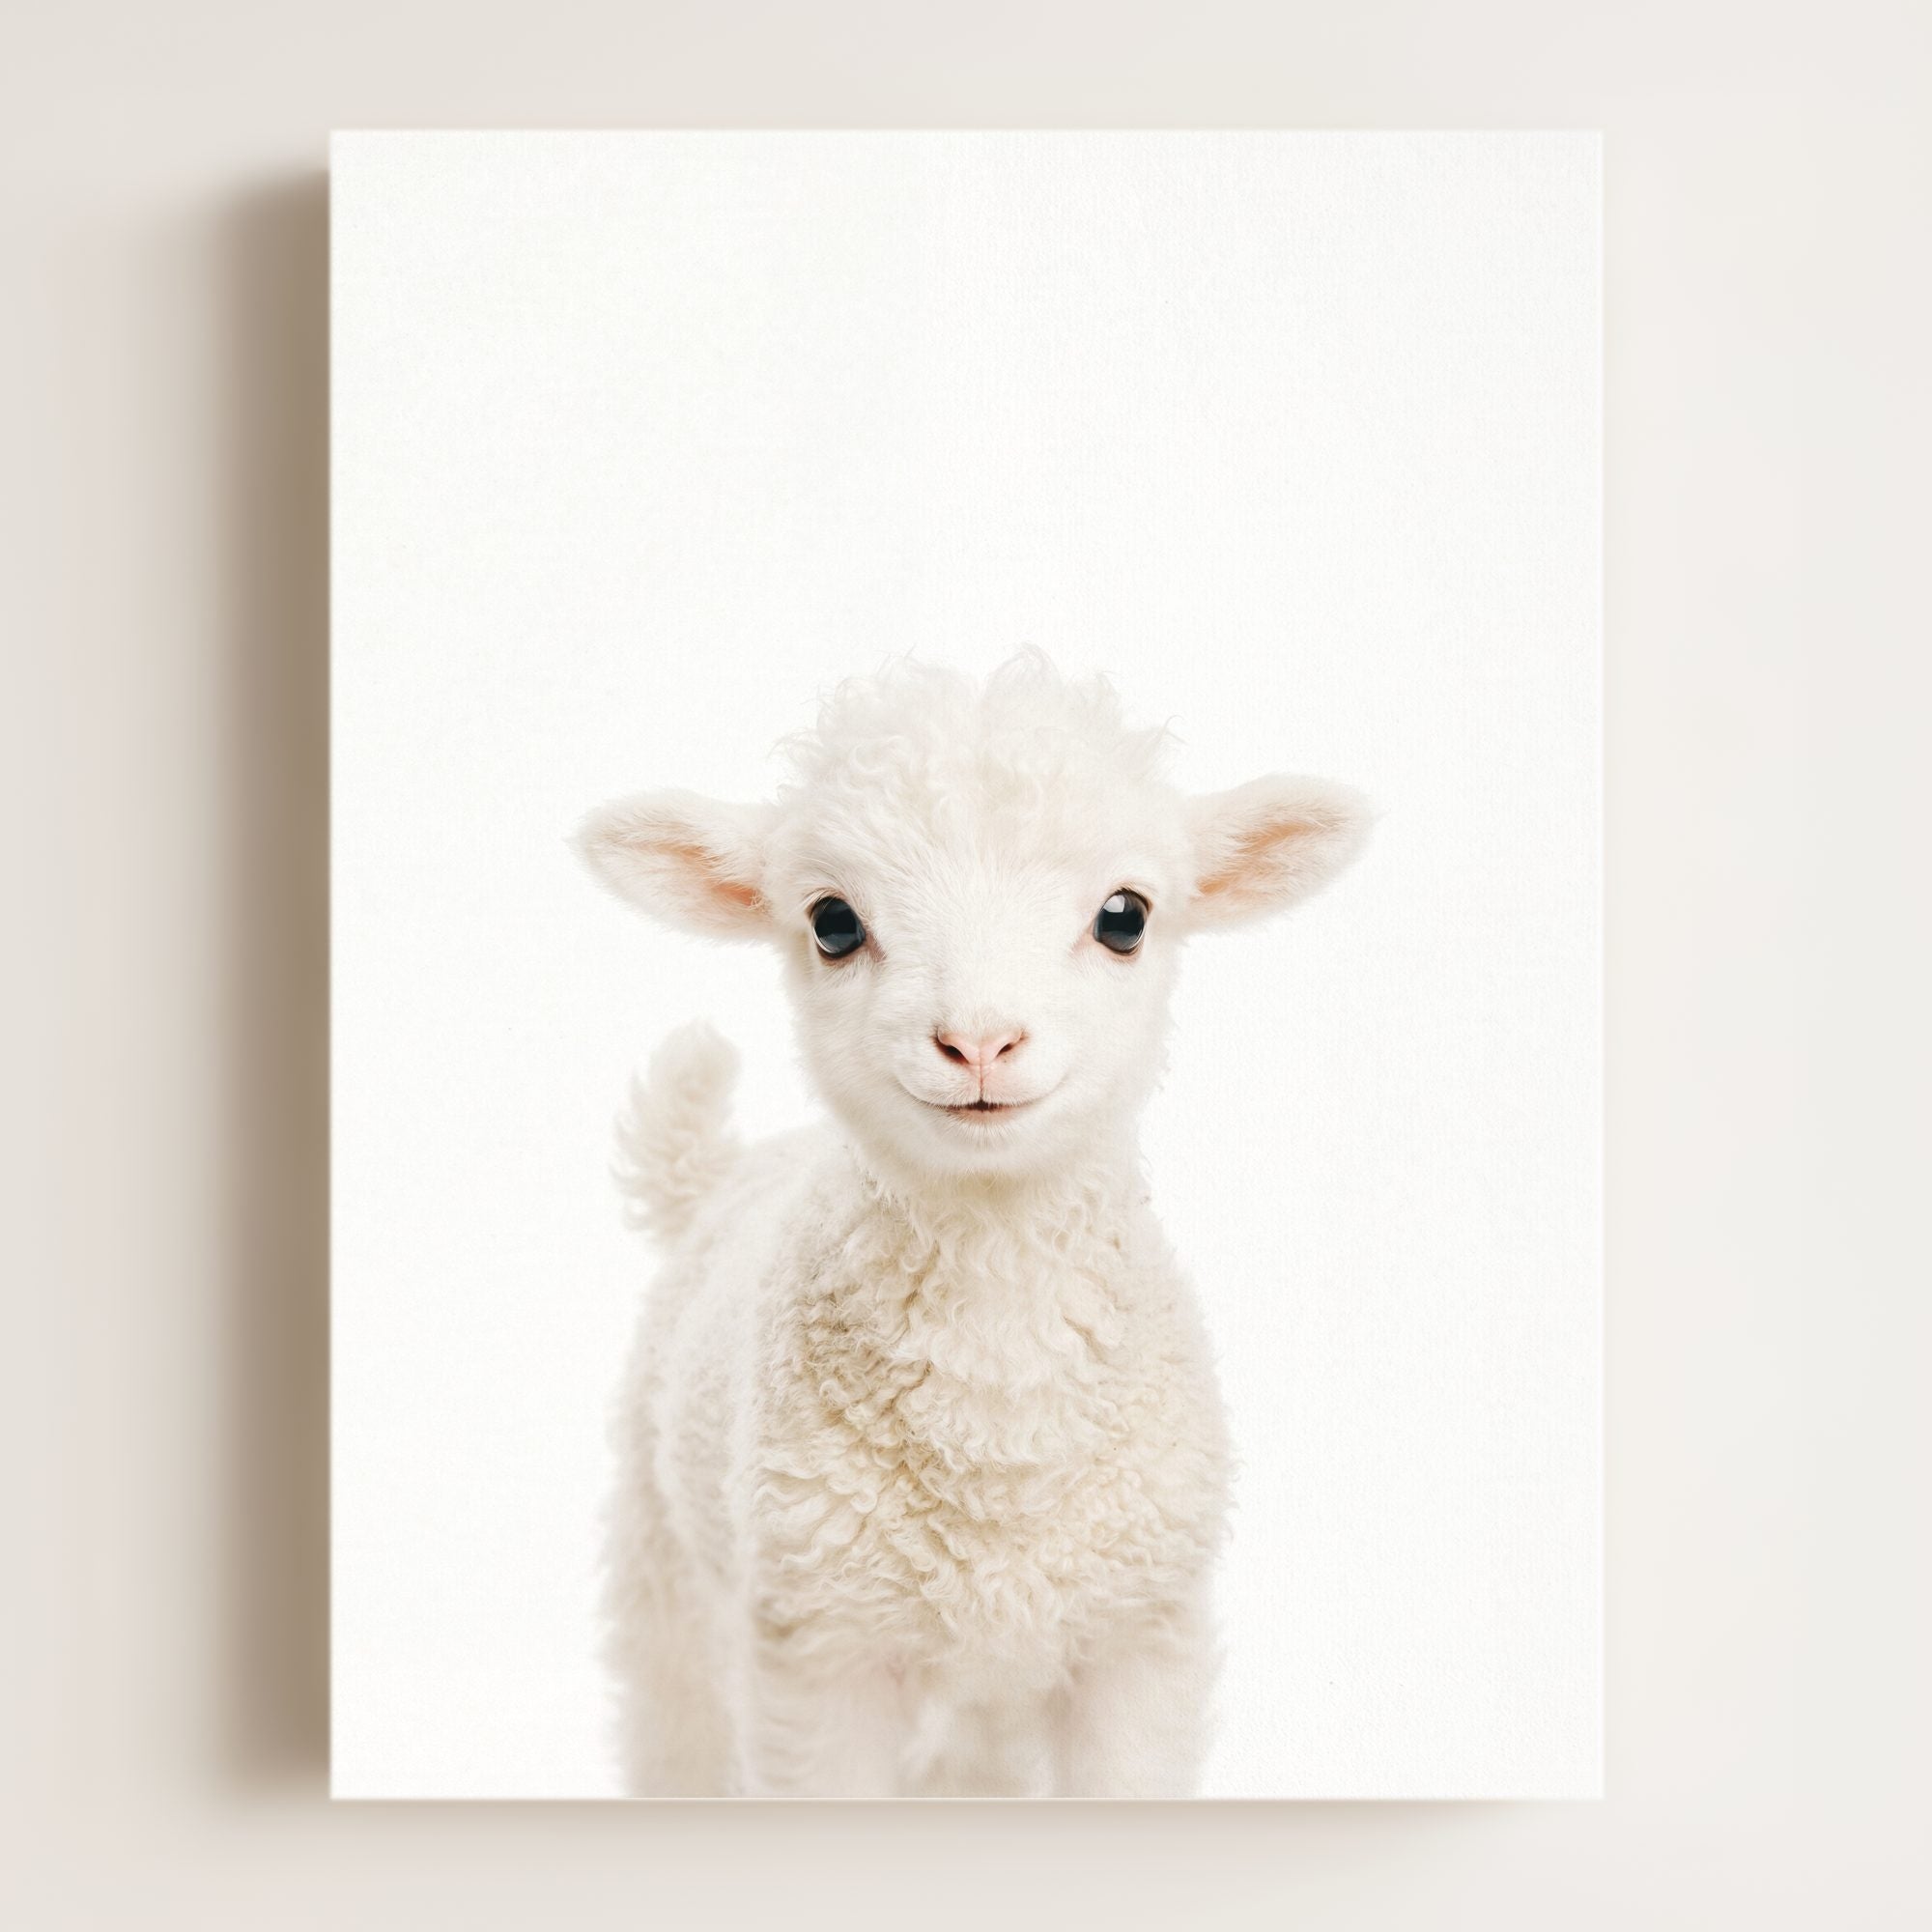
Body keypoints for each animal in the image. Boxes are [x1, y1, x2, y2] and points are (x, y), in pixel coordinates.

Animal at [575, 651, 1370, 1798]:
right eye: (832, 922)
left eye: (1125, 915)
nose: (980, 1040)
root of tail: (724, 1170)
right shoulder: (819, 1653)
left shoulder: (1139, 1639)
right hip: (668, 1573)